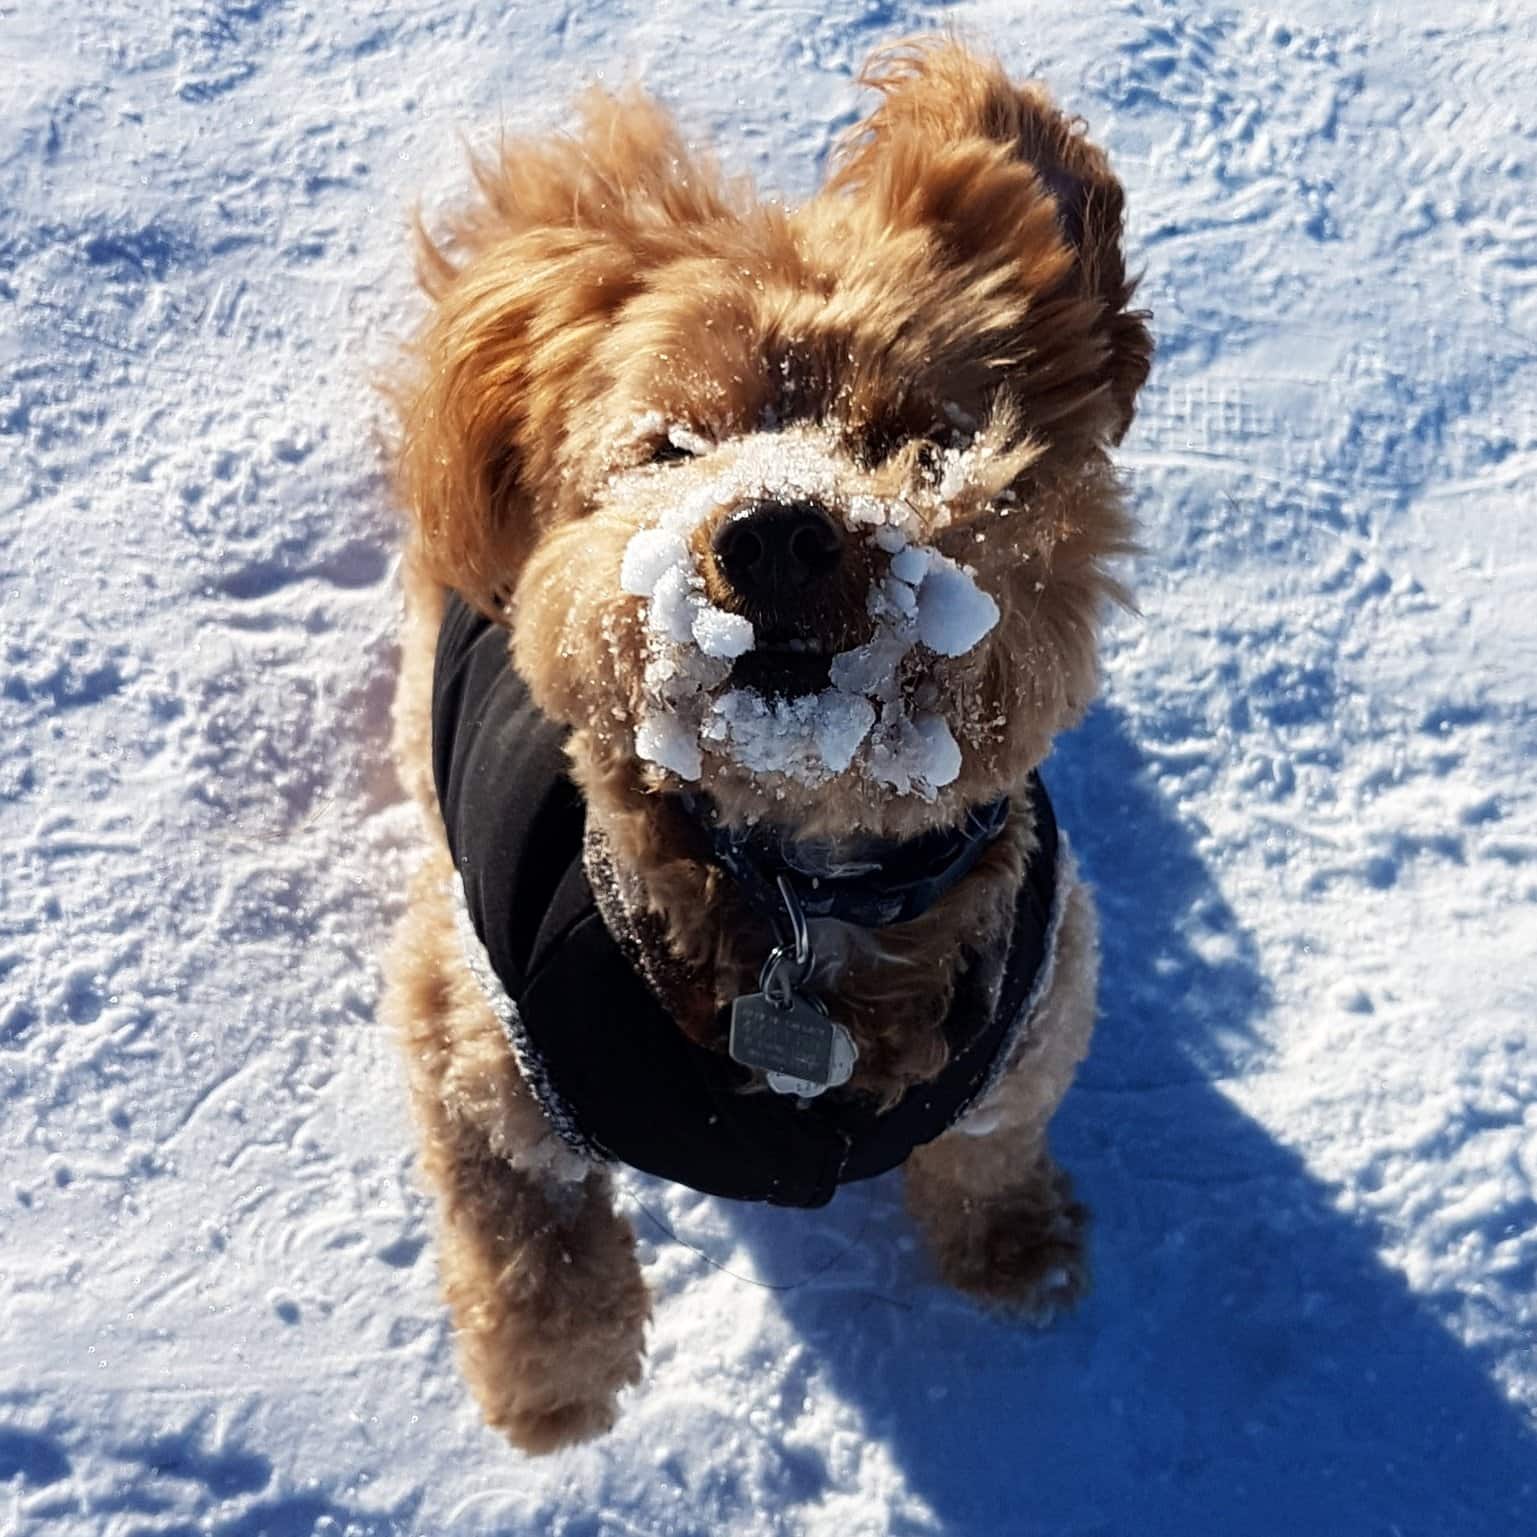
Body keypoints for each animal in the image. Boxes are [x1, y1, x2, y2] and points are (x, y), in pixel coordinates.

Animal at [384, 39, 1155, 1450]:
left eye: (925, 437)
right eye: (670, 445)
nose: (777, 532)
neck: (802, 884)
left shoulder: (1038, 1013)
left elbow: (989, 1150)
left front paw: (1017, 1249)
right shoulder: (469, 1033)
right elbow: (525, 1224)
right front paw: (556, 1386)